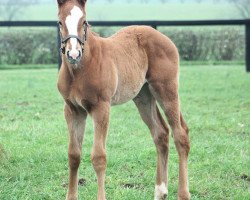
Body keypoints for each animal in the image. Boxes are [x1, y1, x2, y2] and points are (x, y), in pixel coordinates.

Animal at [56, 0, 189, 200]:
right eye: (60, 22)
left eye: (84, 21)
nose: (73, 54)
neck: (79, 70)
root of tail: (164, 37)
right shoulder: (73, 109)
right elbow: (73, 155)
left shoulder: (101, 107)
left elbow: (99, 157)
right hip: (143, 96)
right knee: (161, 133)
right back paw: (160, 191)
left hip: (166, 89)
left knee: (180, 135)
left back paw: (183, 193)